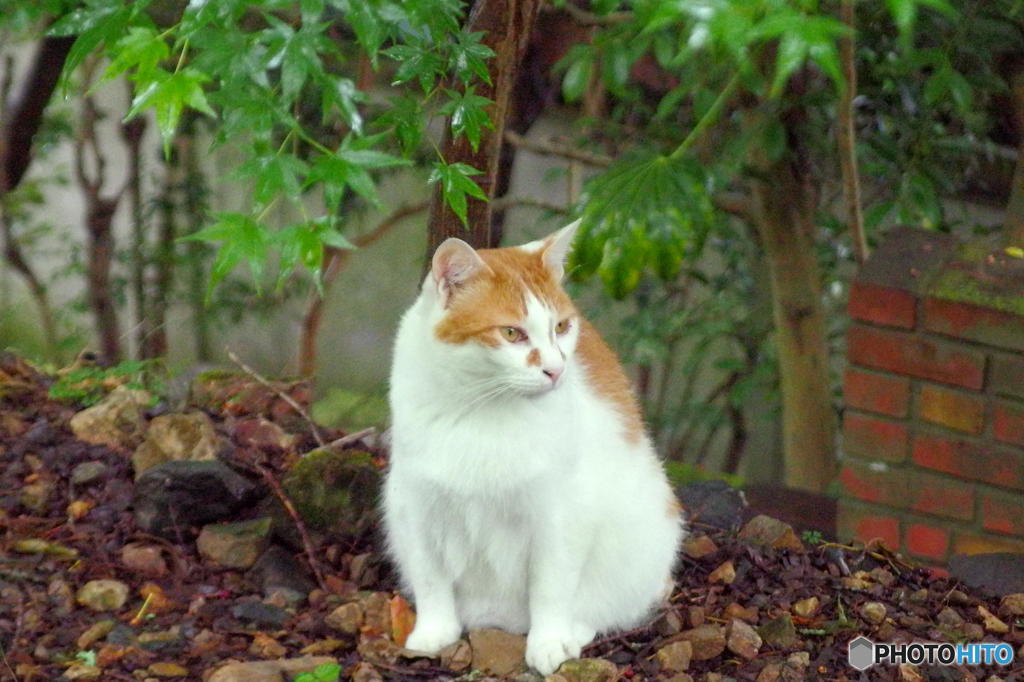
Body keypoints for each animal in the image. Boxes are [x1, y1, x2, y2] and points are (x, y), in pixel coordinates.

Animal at [380, 220, 684, 671]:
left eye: (561, 328)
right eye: (511, 333)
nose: (556, 370)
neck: (481, 410)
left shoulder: (561, 516)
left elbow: (551, 586)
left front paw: (549, 642)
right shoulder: (416, 506)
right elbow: (431, 578)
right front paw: (434, 632)